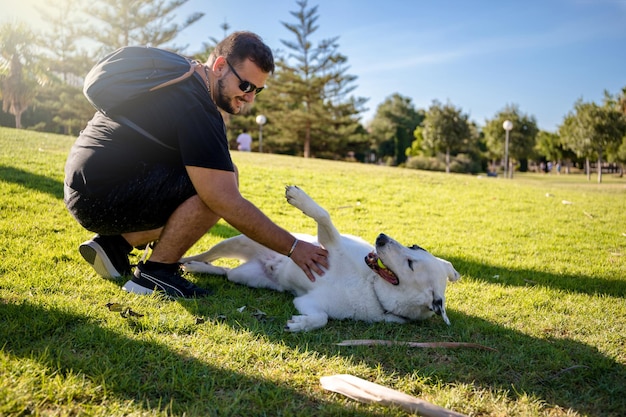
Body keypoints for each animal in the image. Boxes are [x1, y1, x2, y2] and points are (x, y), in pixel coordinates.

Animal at [182, 185, 458, 332]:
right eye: (414, 246)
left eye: (411, 263)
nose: (380, 238)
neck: (369, 286)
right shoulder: (331, 243)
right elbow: (324, 215)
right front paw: (299, 198)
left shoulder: (308, 302)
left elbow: (321, 318)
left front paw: (299, 324)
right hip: (237, 239)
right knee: (208, 254)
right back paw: (188, 261)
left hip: (245, 277)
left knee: (225, 272)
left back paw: (196, 267)